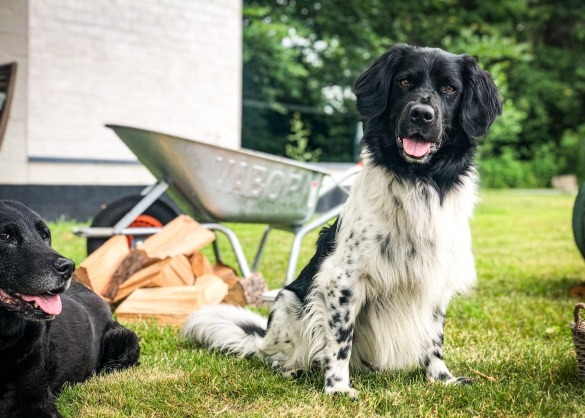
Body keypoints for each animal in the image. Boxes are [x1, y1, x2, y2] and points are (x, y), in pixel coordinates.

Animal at [182, 44, 502, 396]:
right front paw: (337, 388)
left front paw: (441, 378)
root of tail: (261, 340)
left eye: (449, 89)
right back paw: (291, 369)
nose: (421, 114)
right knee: (279, 355)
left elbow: (434, 337)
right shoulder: (343, 281)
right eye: (404, 82)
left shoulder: (435, 278)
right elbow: (340, 339)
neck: (418, 179)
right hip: (288, 301)